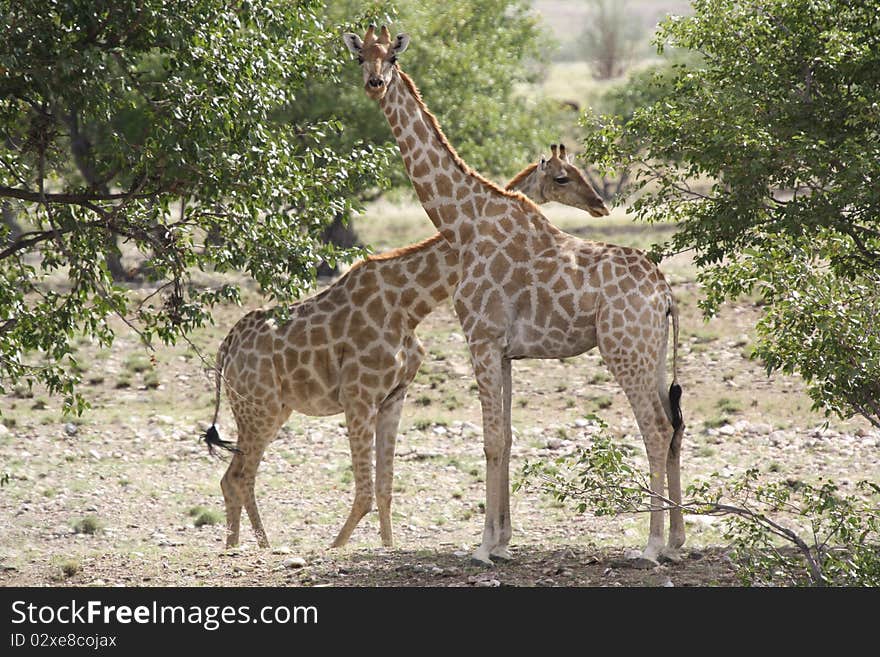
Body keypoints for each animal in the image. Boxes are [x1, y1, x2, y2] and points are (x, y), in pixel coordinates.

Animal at [203, 147, 608, 548]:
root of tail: (226, 346)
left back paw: (242, 545)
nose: (600, 204)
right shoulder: (358, 397)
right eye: (562, 177)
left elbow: (384, 488)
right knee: (238, 476)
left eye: (579, 171)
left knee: (234, 477)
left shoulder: (394, 396)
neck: (410, 305)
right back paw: (254, 546)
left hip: (273, 409)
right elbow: (364, 493)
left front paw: (387, 546)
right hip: (259, 408)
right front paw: (335, 547)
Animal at [346, 25, 688, 564]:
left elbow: (489, 440)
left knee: (654, 428)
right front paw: (504, 541)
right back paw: (675, 540)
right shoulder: (506, 350)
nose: (375, 84)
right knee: (674, 427)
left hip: (624, 350)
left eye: (392, 58)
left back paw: (651, 546)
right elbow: (505, 438)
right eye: (360, 56)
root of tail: (666, 294)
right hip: (651, 354)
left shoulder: (480, 338)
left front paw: (483, 546)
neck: (462, 223)